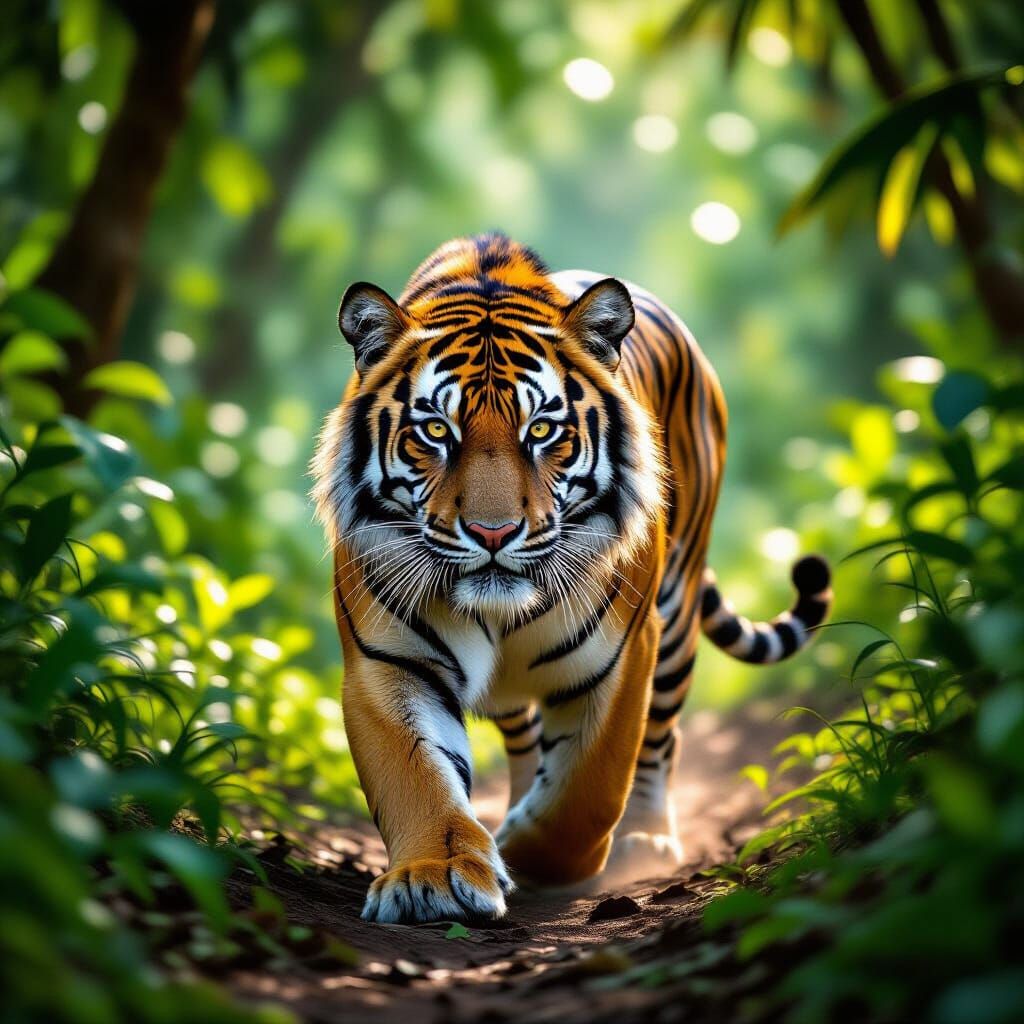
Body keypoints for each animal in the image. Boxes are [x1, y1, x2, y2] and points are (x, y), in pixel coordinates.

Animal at [312, 233, 832, 924]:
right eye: (436, 430)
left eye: (541, 430)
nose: (494, 532)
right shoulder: (390, 661)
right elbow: (417, 776)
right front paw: (433, 876)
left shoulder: (621, 656)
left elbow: (586, 793)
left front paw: (527, 855)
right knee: (526, 743)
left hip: (676, 622)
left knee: (660, 742)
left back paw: (645, 838)